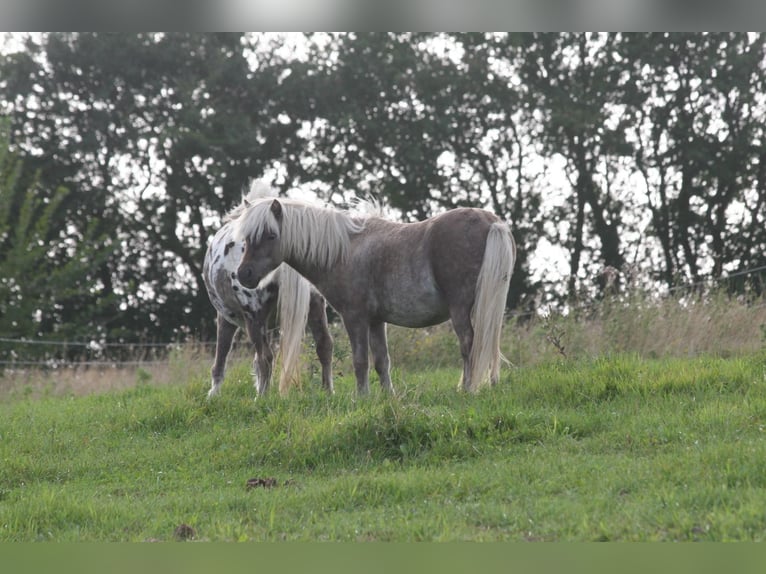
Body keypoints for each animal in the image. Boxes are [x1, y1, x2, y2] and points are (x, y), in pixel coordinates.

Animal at [202, 182, 334, 398]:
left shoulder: (227, 318)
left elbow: (221, 357)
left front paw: (213, 395)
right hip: (315, 306)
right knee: (324, 345)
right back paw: (328, 392)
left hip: (253, 317)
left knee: (266, 357)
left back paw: (261, 398)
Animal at [232, 196, 516, 394]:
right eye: (247, 237)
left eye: (271, 235)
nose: (244, 274)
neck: (344, 250)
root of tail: (492, 222)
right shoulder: (376, 321)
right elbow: (381, 361)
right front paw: (387, 395)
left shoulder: (355, 317)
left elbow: (360, 361)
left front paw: (362, 396)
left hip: (460, 308)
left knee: (469, 344)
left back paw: (467, 389)